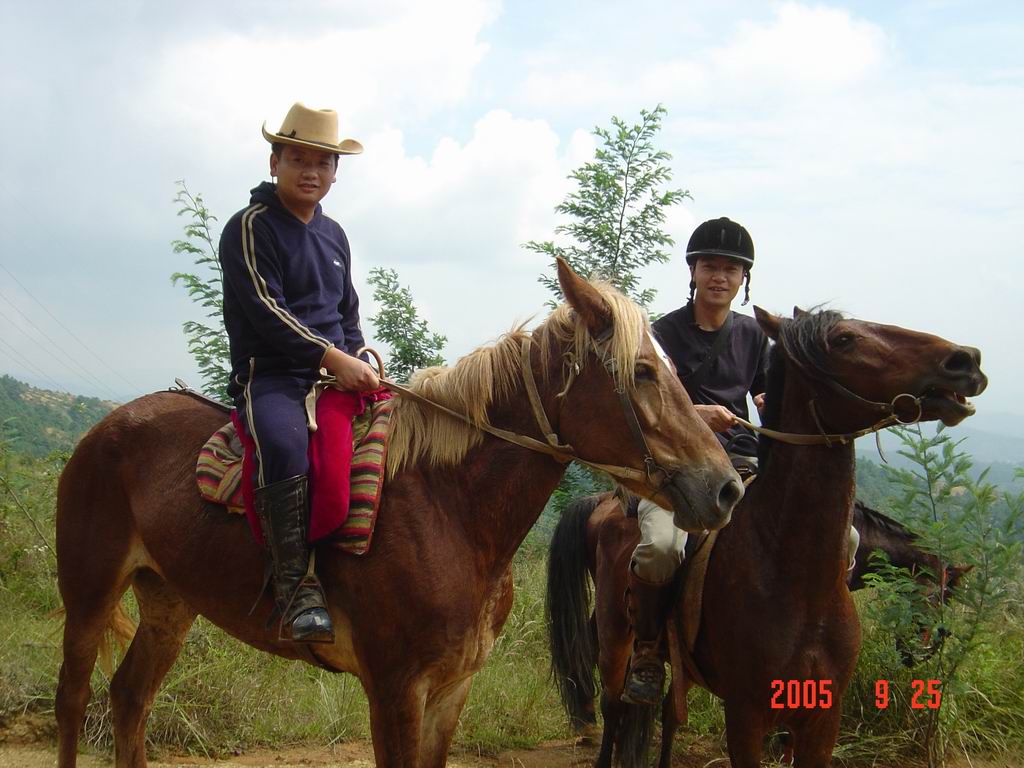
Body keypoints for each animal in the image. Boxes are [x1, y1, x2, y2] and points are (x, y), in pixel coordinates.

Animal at [54, 260, 745, 768]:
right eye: (643, 371)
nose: (726, 489)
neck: (451, 511)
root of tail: (107, 428)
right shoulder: (394, 689)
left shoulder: (451, 688)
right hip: (89, 592)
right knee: (74, 700)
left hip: (169, 600)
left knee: (129, 700)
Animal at [548, 307, 987, 768]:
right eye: (843, 339)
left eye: (946, 601)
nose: (965, 360)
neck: (796, 582)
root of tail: (603, 501)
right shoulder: (746, 714)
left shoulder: (822, 717)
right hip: (617, 636)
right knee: (615, 703)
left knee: (668, 712)